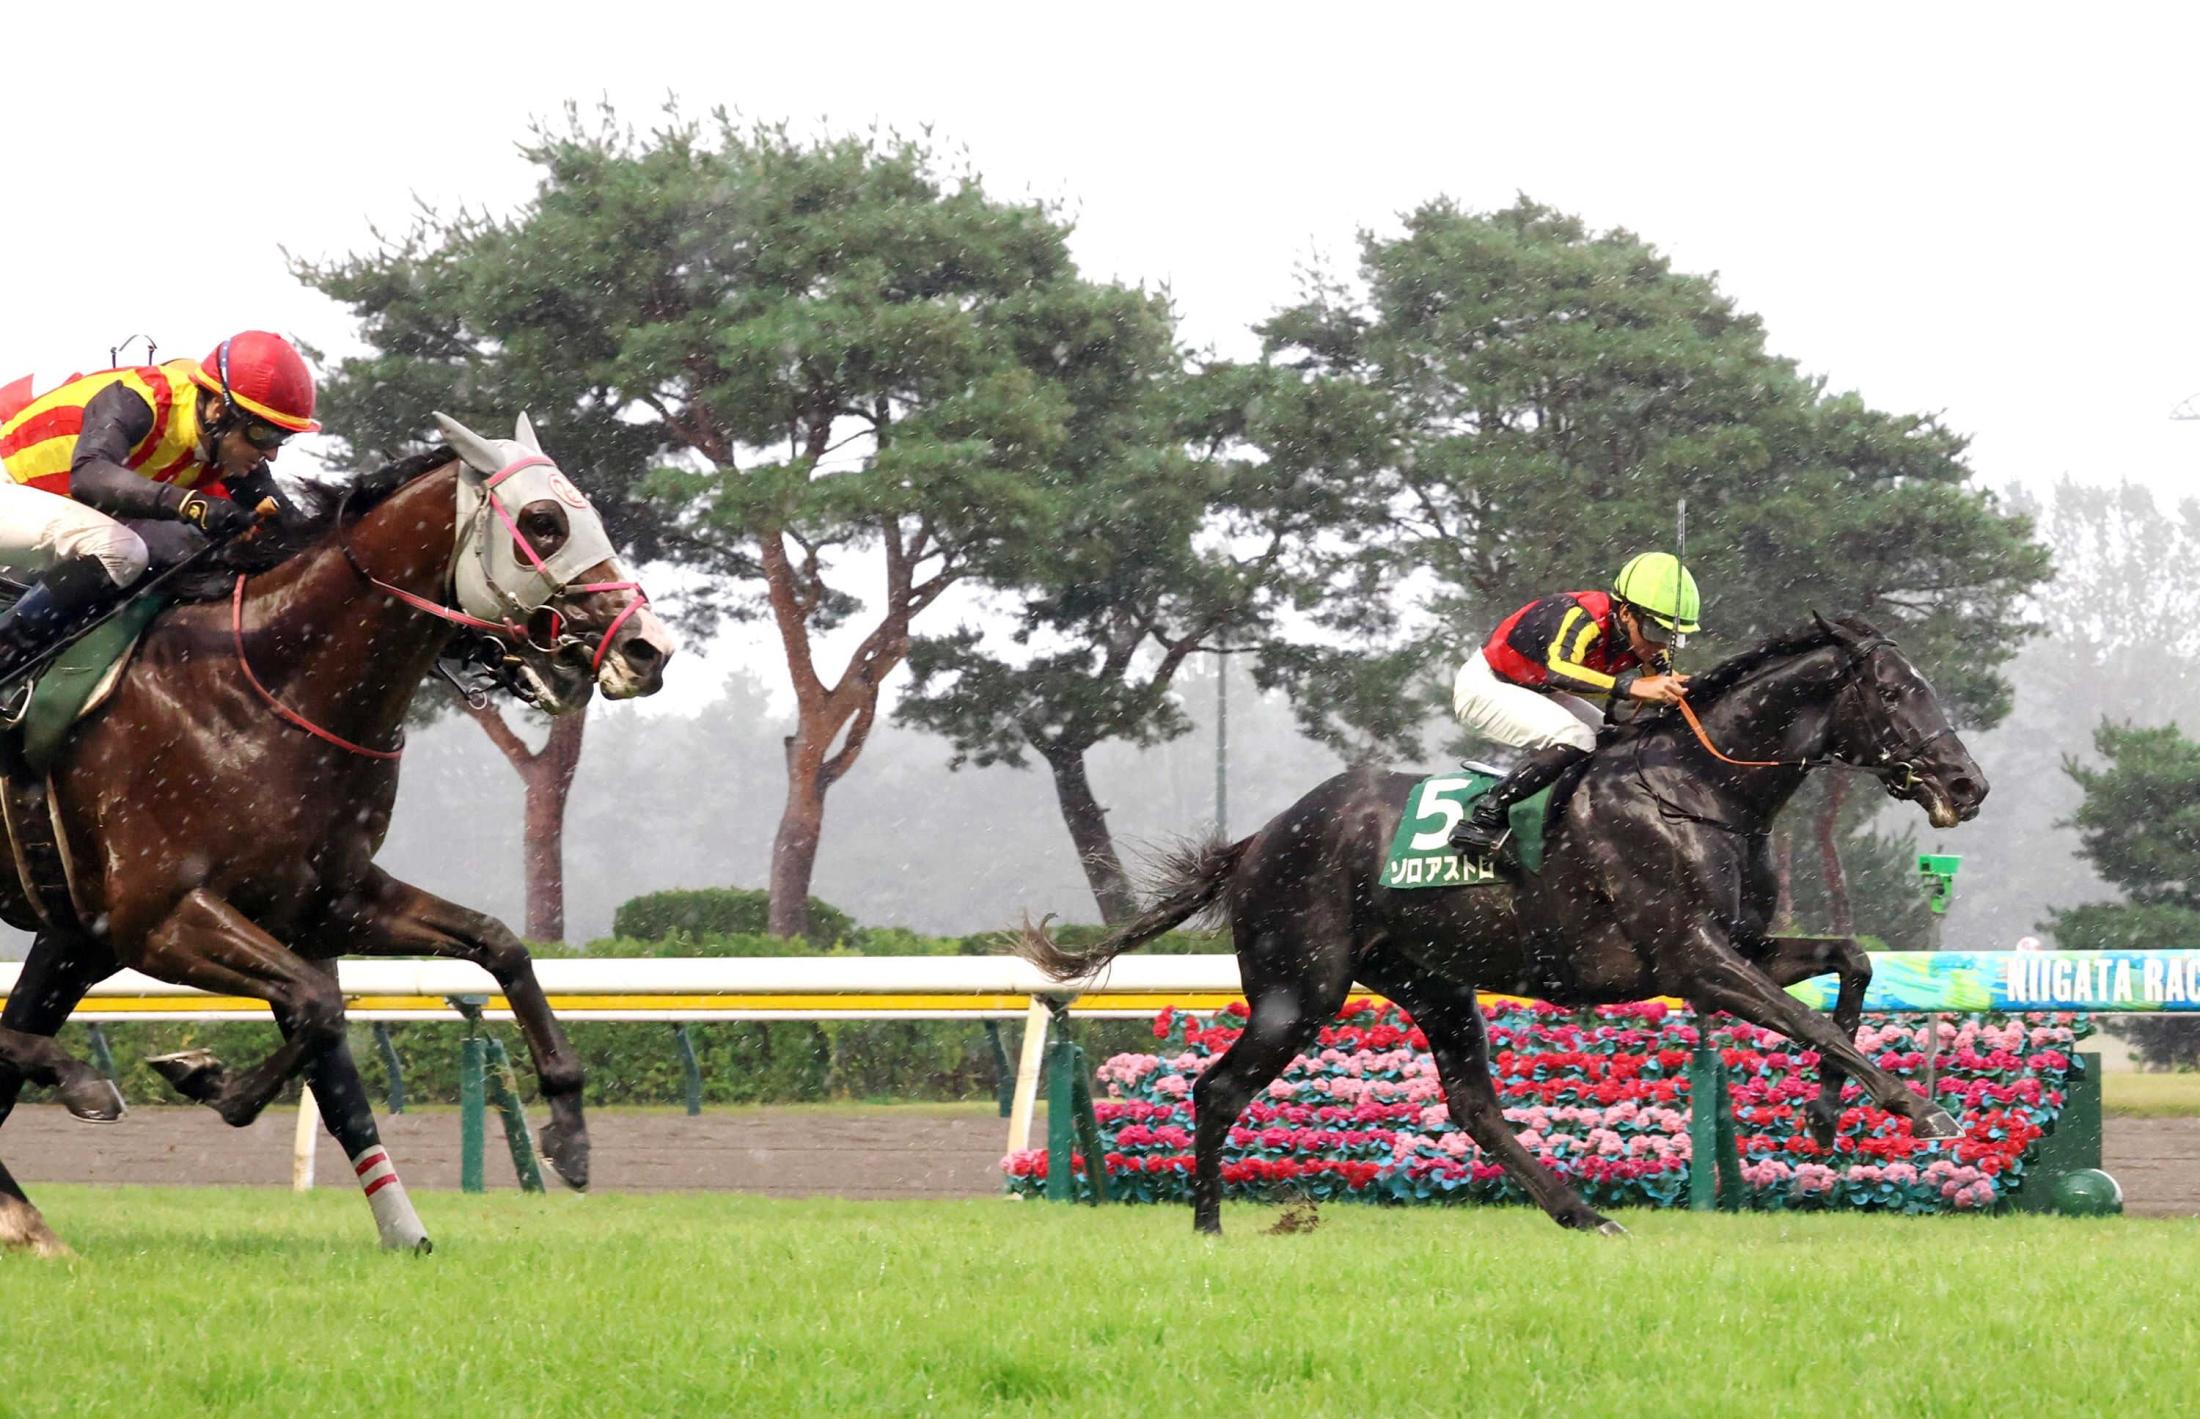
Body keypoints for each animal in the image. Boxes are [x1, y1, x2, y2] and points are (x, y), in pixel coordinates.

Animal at [0, 411, 675, 1254]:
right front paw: (207, 1076)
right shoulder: (153, 918)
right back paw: (73, 1094)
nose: (647, 648)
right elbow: (321, 1003)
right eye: (545, 523)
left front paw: (570, 1128)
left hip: (72, 933)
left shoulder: (324, 900)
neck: (261, 687)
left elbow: (495, 945)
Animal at [1018, 615, 1988, 1236]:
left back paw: (1584, 1213)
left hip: (1433, 983)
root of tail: (1259, 838)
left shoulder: (1741, 946)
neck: (1700, 790)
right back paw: (1210, 1223)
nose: (1967, 782)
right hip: (1301, 990)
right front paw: (1921, 1107)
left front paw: (1825, 1115)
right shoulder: (1692, 958)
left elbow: (1852, 964)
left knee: (1473, 1103)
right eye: (1896, 690)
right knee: (1218, 1089)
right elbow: (1810, 1015)